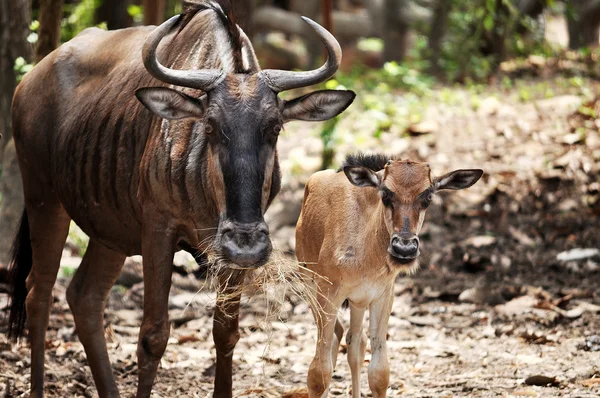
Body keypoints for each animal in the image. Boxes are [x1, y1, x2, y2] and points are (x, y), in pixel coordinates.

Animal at [296, 154, 482, 396]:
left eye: (428, 196)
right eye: (385, 193)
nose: (404, 248)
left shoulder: (382, 295)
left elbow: (379, 372)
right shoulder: (328, 292)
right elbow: (318, 373)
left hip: (357, 302)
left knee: (355, 342)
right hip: (312, 288)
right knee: (336, 339)